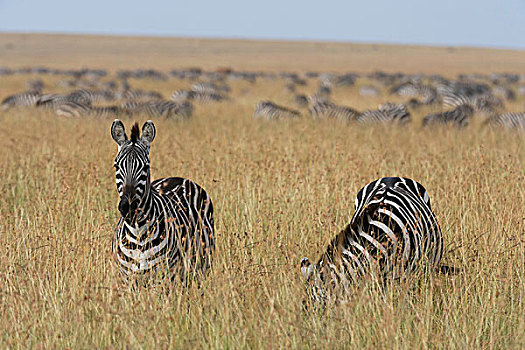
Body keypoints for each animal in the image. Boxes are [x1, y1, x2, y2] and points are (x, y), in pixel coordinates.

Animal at [110, 119, 215, 284]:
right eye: (116, 166)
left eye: (146, 167)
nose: (128, 207)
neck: (138, 233)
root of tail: (178, 178)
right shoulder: (126, 280)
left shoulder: (163, 279)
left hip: (201, 266)